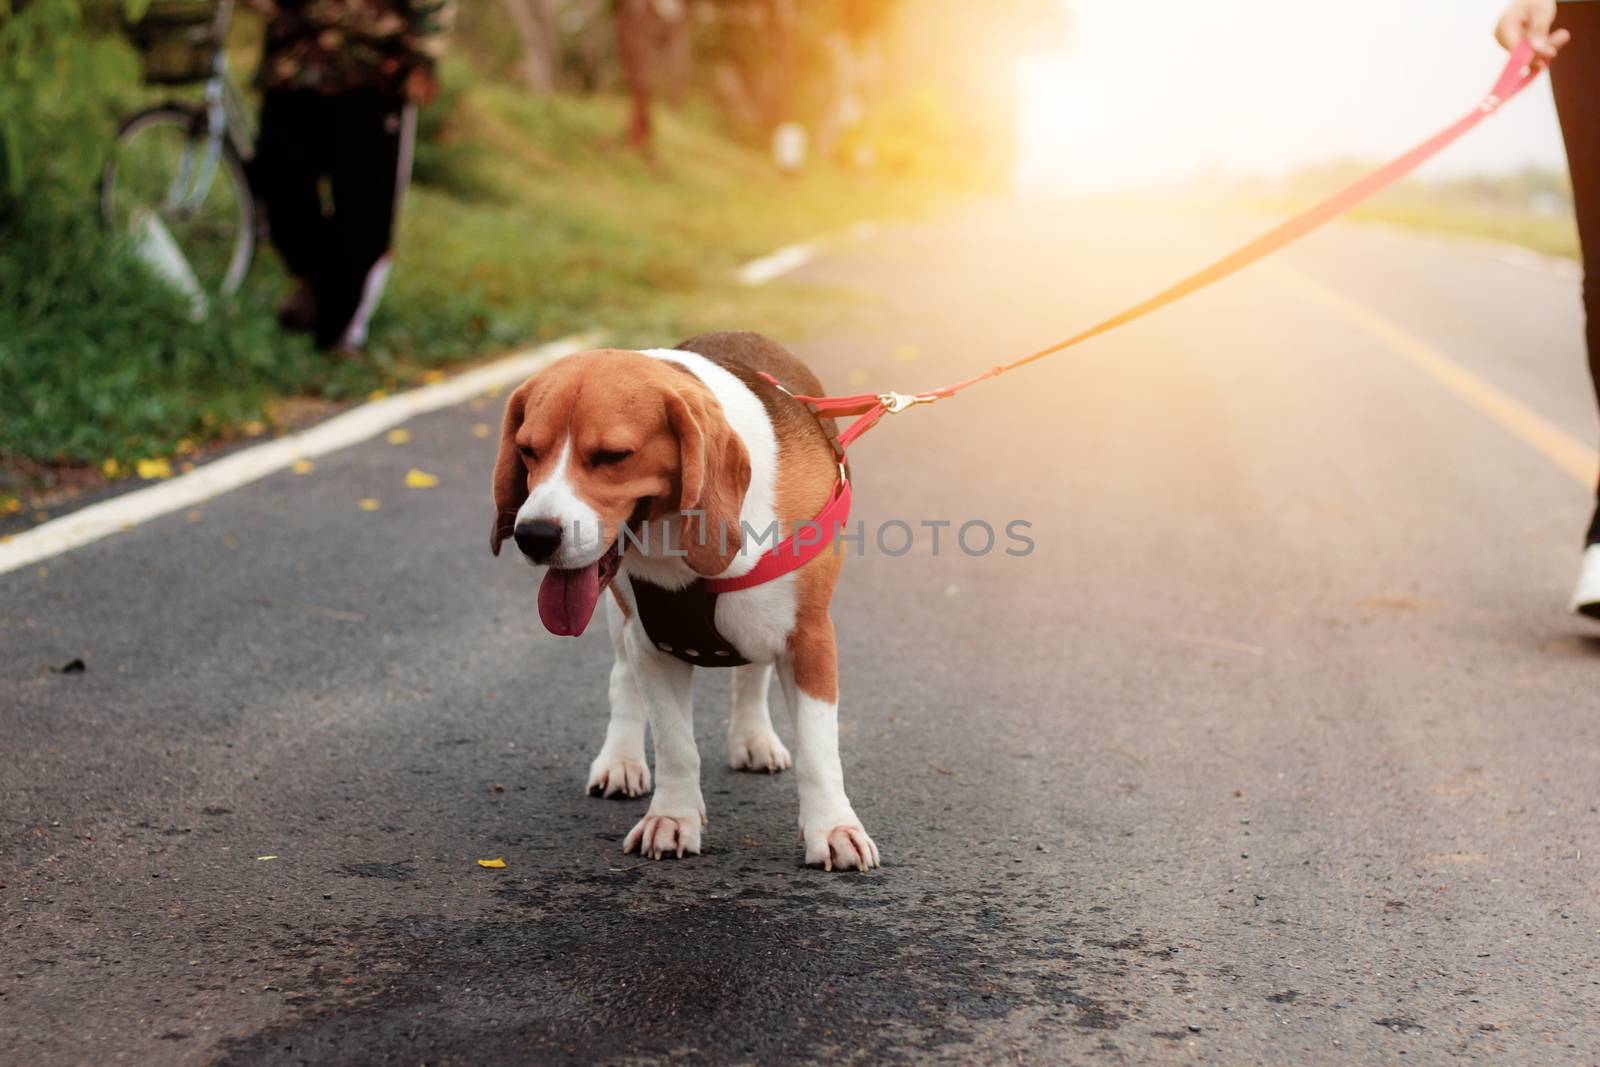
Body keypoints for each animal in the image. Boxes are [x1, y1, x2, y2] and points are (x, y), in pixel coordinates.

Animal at [489, 329, 883, 870]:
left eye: (613, 456)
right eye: (528, 450)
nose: (533, 537)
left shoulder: (810, 640)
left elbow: (818, 750)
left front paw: (834, 828)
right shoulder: (654, 645)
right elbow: (675, 744)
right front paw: (672, 819)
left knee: (751, 674)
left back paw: (753, 737)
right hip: (620, 619)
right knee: (622, 680)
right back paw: (621, 759)